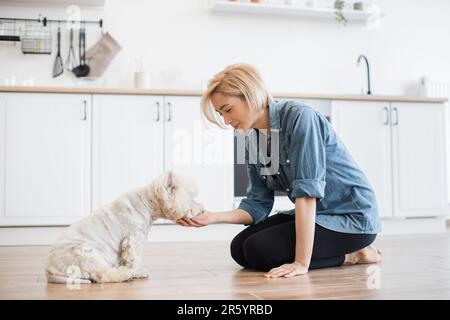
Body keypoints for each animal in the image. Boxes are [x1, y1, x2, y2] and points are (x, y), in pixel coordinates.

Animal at [44, 171, 203, 284]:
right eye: (190, 199)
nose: (202, 209)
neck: (148, 203)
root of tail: (49, 271)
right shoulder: (133, 240)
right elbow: (135, 259)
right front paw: (138, 271)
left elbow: (126, 259)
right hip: (85, 254)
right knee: (102, 275)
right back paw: (125, 274)